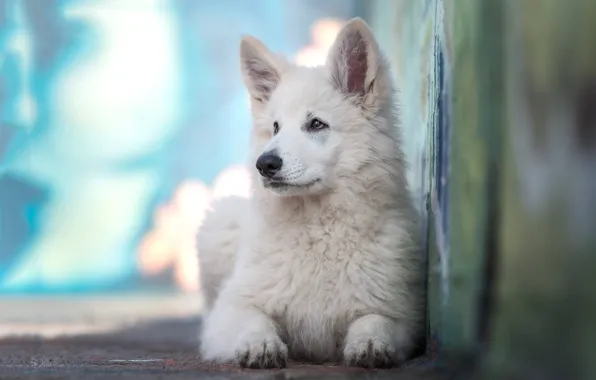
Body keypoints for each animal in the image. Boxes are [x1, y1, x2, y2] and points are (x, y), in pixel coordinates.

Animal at [198, 17, 426, 368]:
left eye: (316, 124)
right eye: (275, 127)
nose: (264, 164)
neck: (317, 227)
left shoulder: (401, 314)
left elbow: (375, 320)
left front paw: (370, 343)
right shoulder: (231, 309)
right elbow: (253, 320)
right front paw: (260, 344)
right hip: (217, 223)